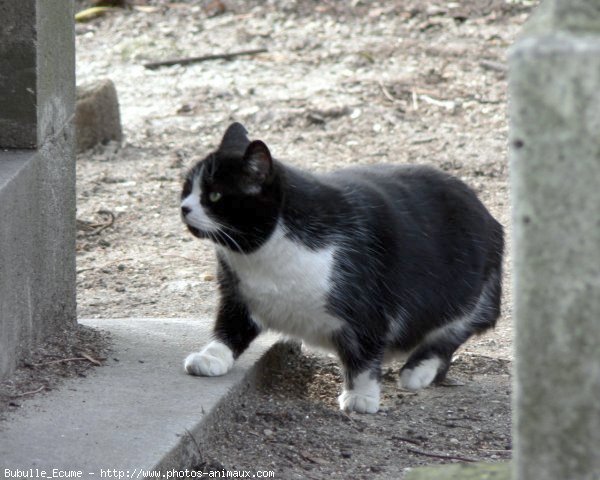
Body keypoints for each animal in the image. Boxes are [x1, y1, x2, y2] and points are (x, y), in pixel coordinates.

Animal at [180, 123, 504, 412]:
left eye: (215, 195)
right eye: (186, 188)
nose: (184, 207)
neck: (263, 256)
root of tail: (487, 213)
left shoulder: (368, 306)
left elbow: (363, 354)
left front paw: (361, 396)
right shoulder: (238, 294)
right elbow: (228, 328)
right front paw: (212, 357)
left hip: (473, 296)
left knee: (453, 333)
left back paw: (418, 371)